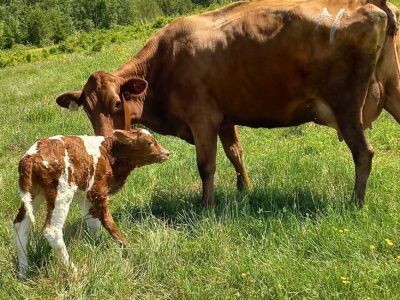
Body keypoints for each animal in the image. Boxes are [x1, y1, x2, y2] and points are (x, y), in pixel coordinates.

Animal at [55, 0, 400, 207]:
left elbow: (206, 165)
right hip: (394, 91)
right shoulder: (224, 118)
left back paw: (355, 202)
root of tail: (369, 3)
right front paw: (244, 188)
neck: (163, 62)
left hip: (346, 106)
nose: (102, 141)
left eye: (117, 104)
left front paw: (206, 206)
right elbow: (236, 153)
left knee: (363, 152)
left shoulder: (202, 118)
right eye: (87, 110)